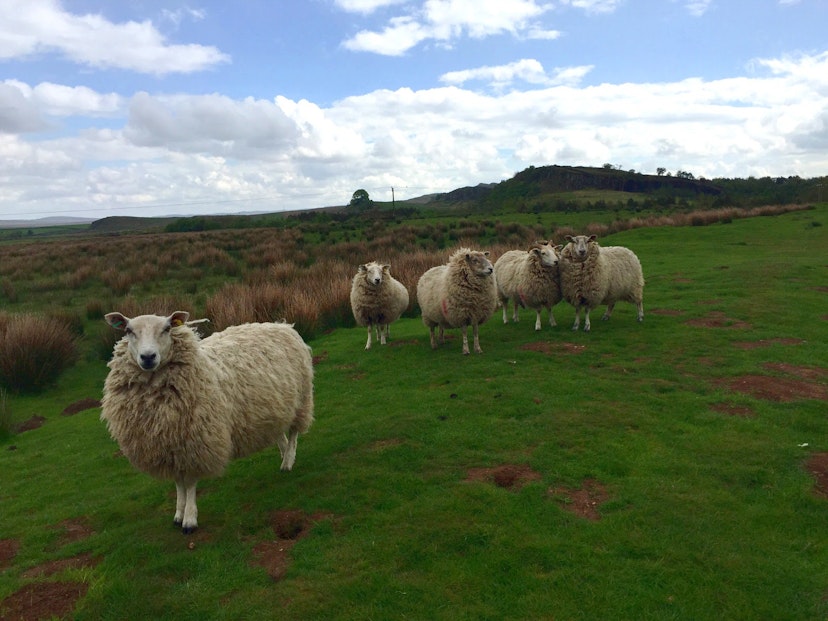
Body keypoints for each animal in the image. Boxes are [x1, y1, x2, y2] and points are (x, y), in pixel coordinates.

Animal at [100, 310, 314, 532]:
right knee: (280, 433)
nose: (148, 357)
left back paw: (288, 461)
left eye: (167, 329)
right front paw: (178, 512)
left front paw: (189, 519)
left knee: (294, 433)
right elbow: (178, 483)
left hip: (302, 398)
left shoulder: (195, 442)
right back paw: (284, 455)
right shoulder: (169, 446)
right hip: (275, 407)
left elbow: (190, 482)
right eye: (128, 330)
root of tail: (282, 325)